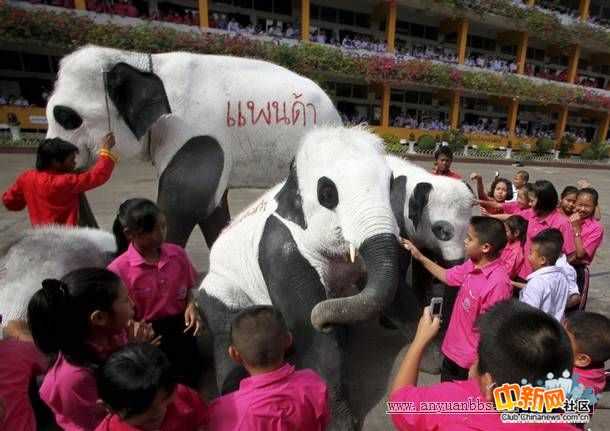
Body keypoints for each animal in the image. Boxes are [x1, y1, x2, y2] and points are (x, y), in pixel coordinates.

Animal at [197, 126, 402, 430]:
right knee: (225, 332)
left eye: (390, 184)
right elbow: (313, 337)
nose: (325, 319)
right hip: (222, 286)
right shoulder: (281, 248)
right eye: (327, 193)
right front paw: (340, 423)